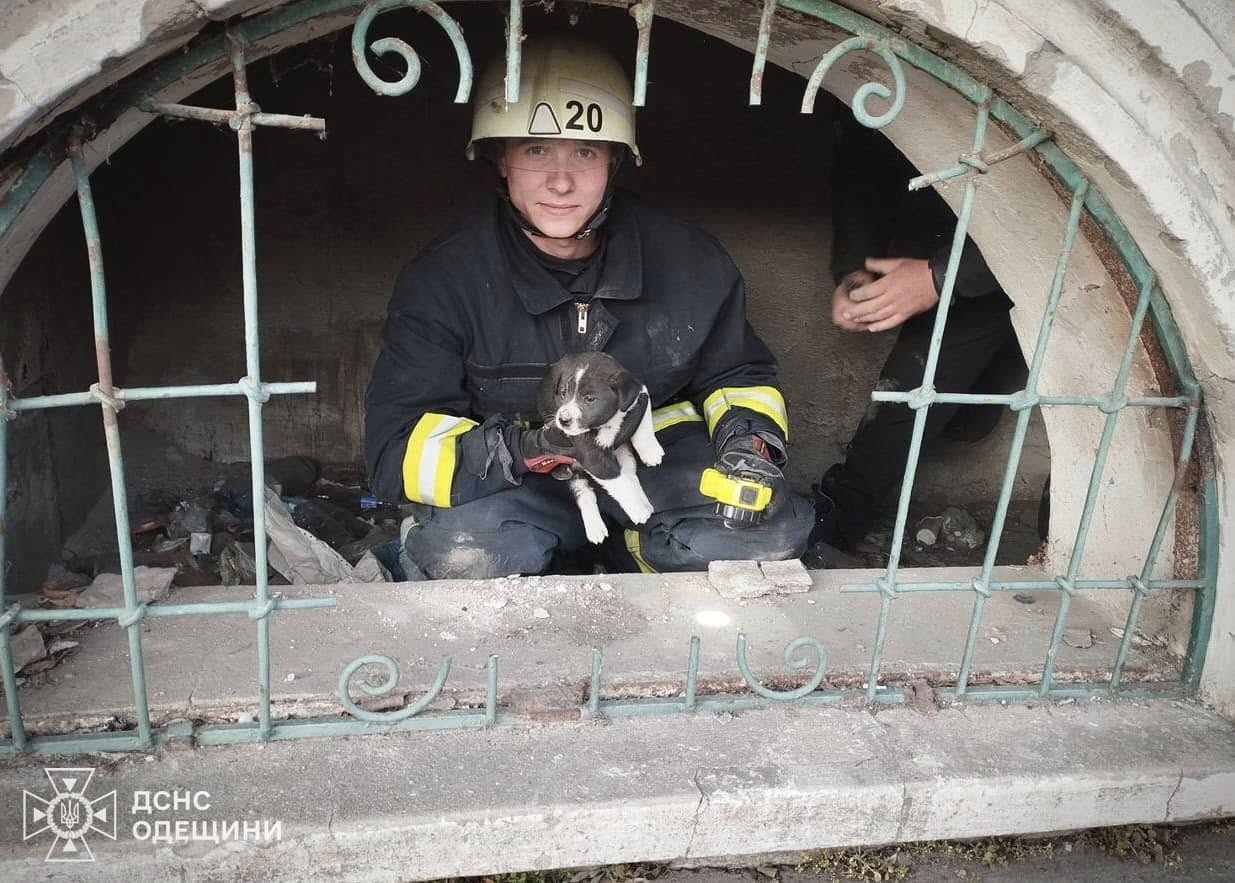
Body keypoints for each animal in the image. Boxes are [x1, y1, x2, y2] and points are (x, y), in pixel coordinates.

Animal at [533, 353, 661, 545]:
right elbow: (619, 483)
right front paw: (638, 508)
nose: (562, 420)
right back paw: (595, 526)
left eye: (589, 399)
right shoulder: (590, 454)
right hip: (571, 468)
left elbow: (642, 423)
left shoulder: (640, 394)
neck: (607, 422)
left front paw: (650, 451)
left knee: (628, 470)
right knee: (585, 494)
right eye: (563, 393)